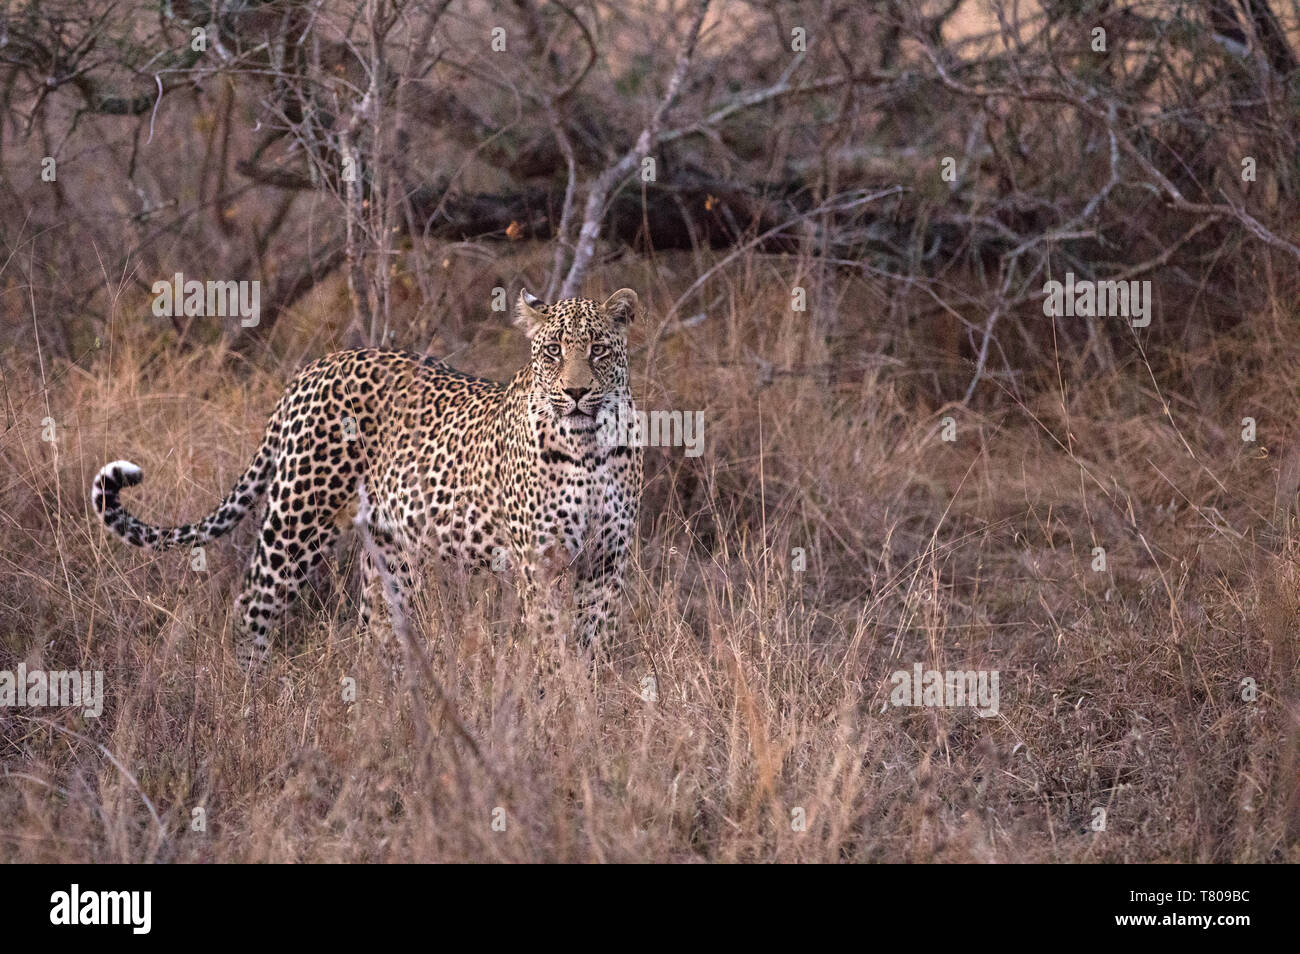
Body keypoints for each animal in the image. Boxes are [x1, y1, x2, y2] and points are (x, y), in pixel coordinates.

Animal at [89, 287, 642, 670]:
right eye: (553, 351)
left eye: (597, 349)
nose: (576, 392)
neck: (588, 449)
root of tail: (316, 366)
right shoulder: (537, 559)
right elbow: (551, 638)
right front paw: (558, 705)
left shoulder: (607, 557)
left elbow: (593, 637)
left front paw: (585, 704)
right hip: (298, 517)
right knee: (252, 602)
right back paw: (248, 698)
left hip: (387, 545)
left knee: (376, 620)